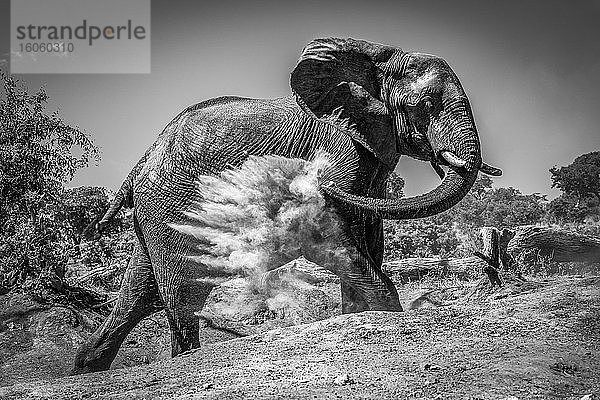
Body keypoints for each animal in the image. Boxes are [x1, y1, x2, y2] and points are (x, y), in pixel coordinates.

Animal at [70, 37, 502, 376]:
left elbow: (368, 237)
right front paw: (388, 314)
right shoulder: (339, 148)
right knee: (181, 291)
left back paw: (85, 367)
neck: (375, 60)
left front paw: (357, 316)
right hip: (169, 205)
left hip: (155, 212)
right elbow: (331, 235)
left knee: (140, 292)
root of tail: (142, 159)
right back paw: (182, 359)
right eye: (425, 104)